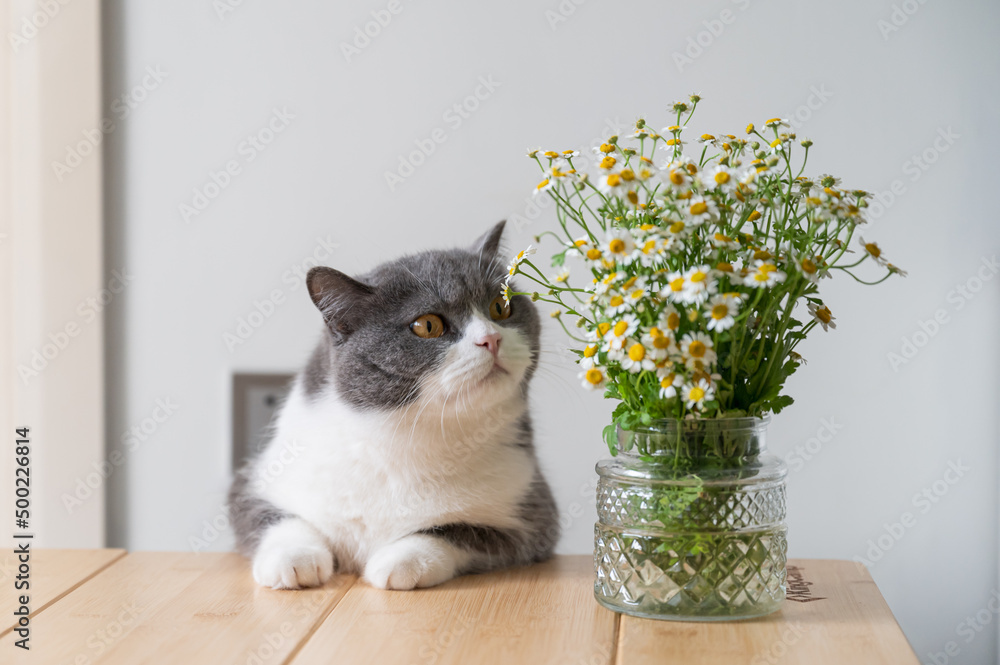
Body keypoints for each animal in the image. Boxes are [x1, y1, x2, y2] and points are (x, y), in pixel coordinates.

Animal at [227, 220, 560, 588]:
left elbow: (459, 530)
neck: (404, 437)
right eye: (427, 325)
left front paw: (400, 560)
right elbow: (271, 516)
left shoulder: (535, 516)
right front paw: (293, 558)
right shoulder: (255, 480)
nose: (492, 339)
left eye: (501, 307)